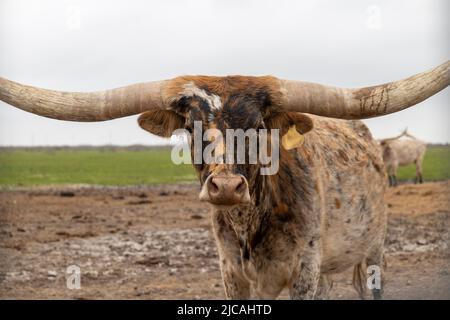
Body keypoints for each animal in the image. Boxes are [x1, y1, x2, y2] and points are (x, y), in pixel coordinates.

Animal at [0, 61, 450, 298]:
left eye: (259, 127)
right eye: (191, 127)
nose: (227, 187)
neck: (253, 222)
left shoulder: (303, 273)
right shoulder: (233, 273)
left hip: (373, 251)